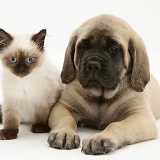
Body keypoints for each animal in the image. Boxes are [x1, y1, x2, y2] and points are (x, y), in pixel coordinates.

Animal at [47, 14, 160, 154]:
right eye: (84, 46)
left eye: (113, 48)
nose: (93, 65)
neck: (101, 95)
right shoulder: (62, 106)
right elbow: (66, 119)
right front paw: (64, 133)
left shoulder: (141, 115)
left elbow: (117, 125)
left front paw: (101, 137)